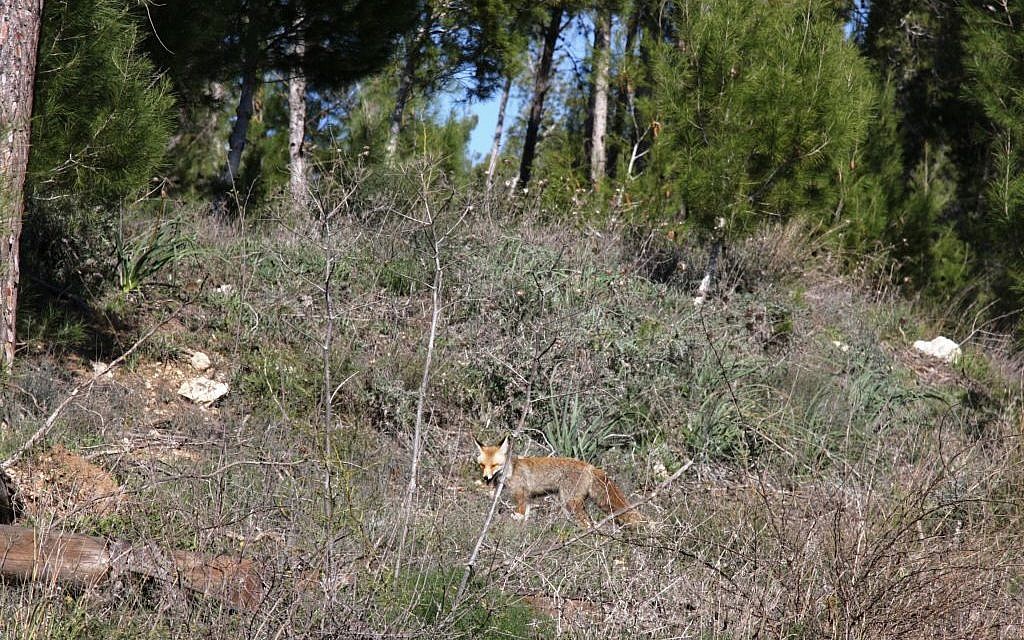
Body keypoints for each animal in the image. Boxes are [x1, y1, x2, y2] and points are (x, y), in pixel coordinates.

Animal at [474, 436, 643, 528]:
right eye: (482, 465)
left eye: (494, 465)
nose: (486, 478)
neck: (511, 470)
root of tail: (589, 466)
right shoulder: (527, 499)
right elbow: (525, 520)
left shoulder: (521, 496)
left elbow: (519, 516)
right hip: (566, 503)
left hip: (570, 502)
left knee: (587, 524)